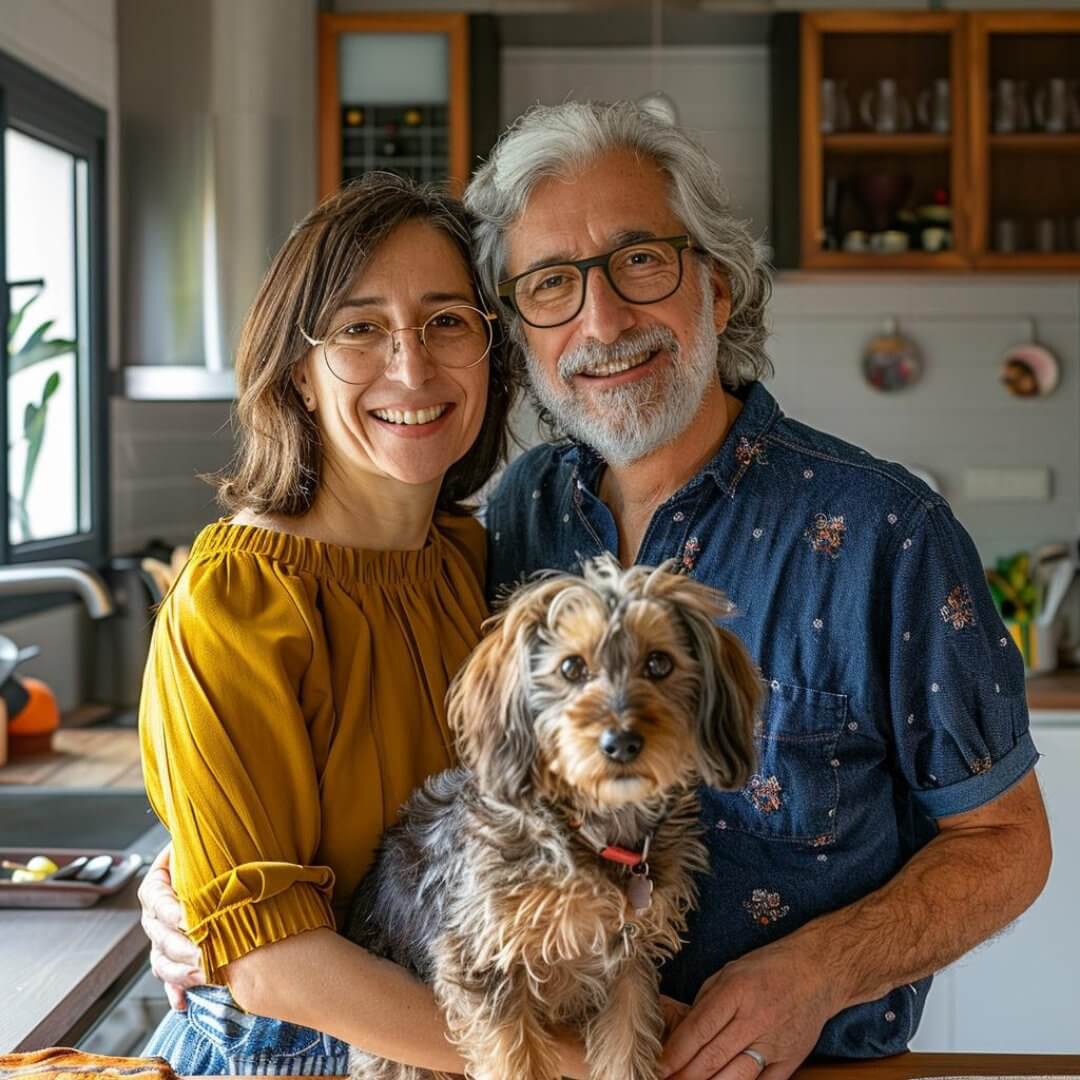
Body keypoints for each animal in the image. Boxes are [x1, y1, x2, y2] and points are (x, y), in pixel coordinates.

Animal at [343, 557, 760, 1080]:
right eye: (571, 667)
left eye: (659, 663)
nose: (621, 743)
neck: (592, 837)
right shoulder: (484, 961)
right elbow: (517, 1061)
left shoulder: (629, 966)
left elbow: (626, 1052)